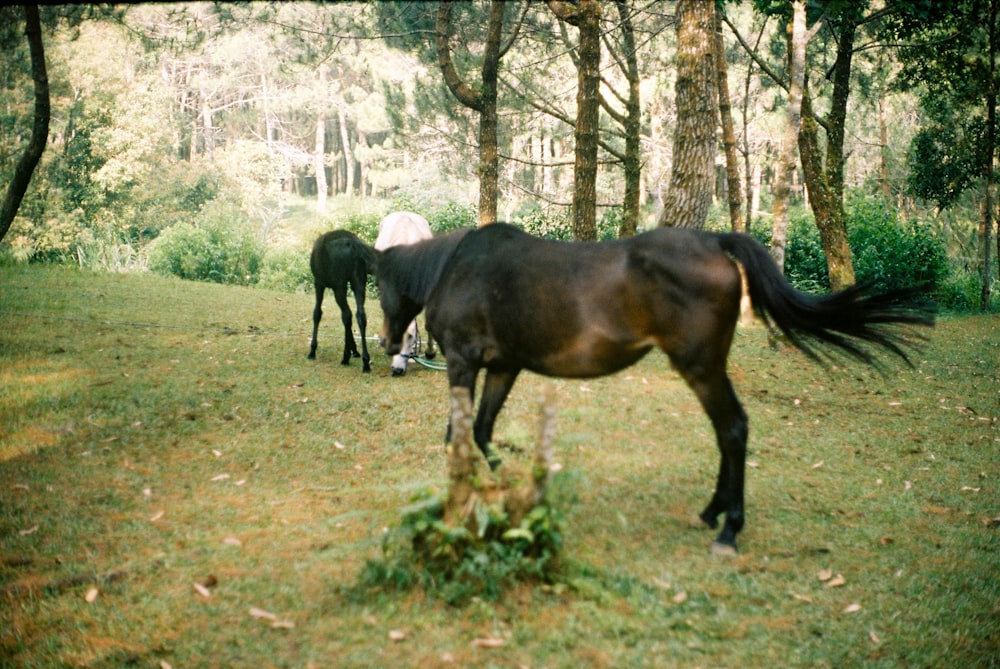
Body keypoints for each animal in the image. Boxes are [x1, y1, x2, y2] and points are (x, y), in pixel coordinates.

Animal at [306, 228, 376, 370]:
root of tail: (354, 246)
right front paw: (355, 350)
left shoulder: (319, 283)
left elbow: (317, 313)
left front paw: (312, 350)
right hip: (359, 281)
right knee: (360, 315)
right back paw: (365, 361)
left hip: (339, 285)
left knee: (347, 315)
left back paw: (345, 357)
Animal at [372, 222, 932, 552]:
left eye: (377, 285)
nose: (388, 343)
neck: (455, 269)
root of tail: (713, 240)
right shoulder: (503, 367)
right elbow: (484, 432)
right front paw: (504, 492)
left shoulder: (463, 363)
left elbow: (457, 436)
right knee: (728, 432)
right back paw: (713, 512)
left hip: (701, 367)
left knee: (733, 428)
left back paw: (728, 527)